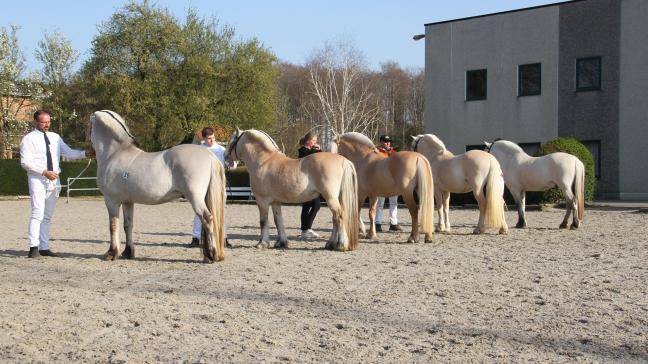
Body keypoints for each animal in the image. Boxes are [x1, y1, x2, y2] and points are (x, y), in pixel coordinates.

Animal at [88, 109, 225, 264]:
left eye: (89, 127)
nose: (88, 152)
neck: (115, 153)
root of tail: (210, 156)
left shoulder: (111, 200)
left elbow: (113, 225)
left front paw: (111, 253)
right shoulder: (128, 202)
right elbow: (127, 225)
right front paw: (128, 252)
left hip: (195, 198)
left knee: (207, 219)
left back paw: (211, 256)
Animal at [225, 129, 360, 252]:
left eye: (232, 141)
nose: (225, 157)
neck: (263, 162)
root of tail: (344, 160)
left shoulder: (262, 200)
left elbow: (263, 221)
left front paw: (262, 243)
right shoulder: (275, 202)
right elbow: (278, 221)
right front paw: (281, 243)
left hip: (330, 197)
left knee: (339, 216)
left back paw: (341, 245)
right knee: (335, 219)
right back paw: (330, 244)